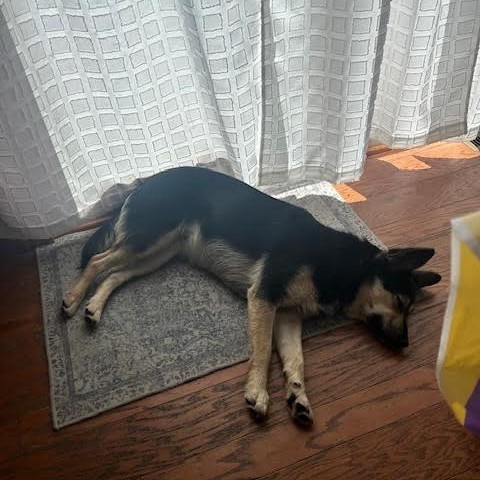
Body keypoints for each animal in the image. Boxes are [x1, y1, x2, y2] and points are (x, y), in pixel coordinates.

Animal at [62, 167, 440, 426]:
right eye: (402, 304)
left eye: (410, 310)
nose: (406, 344)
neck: (342, 265)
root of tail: (149, 180)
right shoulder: (263, 297)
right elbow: (261, 352)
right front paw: (258, 392)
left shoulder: (287, 315)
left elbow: (296, 359)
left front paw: (298, 395)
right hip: (151, 238)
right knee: (98, 261)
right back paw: (72, 299)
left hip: (157, 253)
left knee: (116, 273)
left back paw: (94, 308)